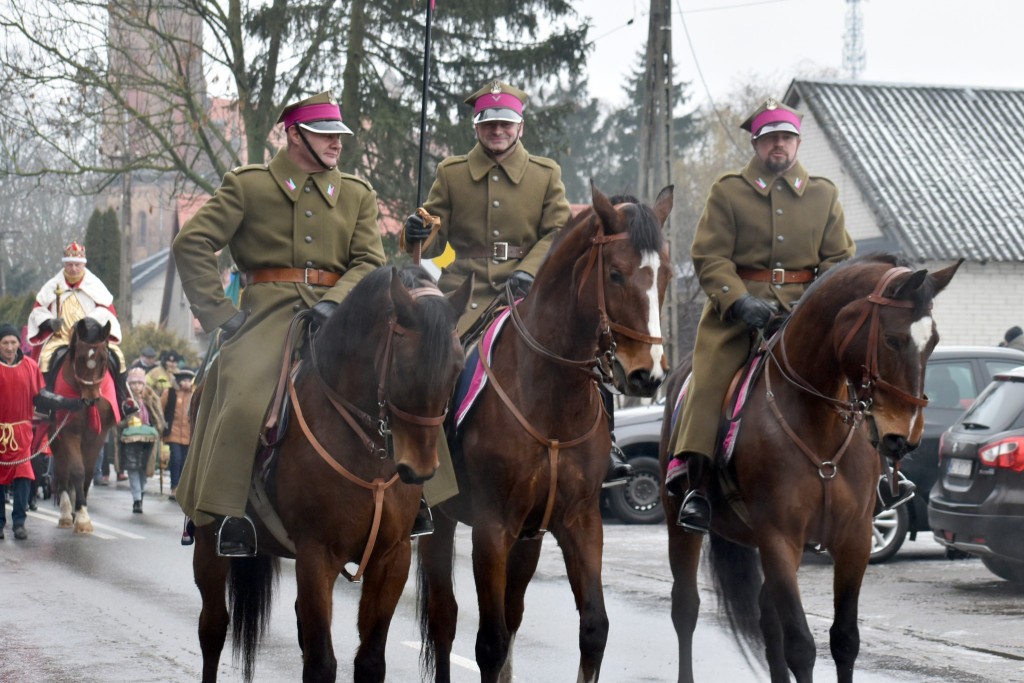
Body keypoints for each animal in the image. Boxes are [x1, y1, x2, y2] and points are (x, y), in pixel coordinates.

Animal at [49, 317, 117, 536]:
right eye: (79, 358)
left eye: (103, 358)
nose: (91, 399)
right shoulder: (69, 433)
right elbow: (77, 471)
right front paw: (82, 518)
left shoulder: (97, 437)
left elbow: (87, 473)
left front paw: (81, 510)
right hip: (55, 437)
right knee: (63, 471)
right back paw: (65, 514)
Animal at [192, 266, 471, 683]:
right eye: (404, 367)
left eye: (457, 367)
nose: (418, 469)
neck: (367, 448)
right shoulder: (316, 556)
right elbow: (321, 663)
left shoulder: (393, 556)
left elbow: (370, 660)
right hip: (207, 541)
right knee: (212, 628)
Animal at [415, 185, 671, 683]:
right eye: (615, 273)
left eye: (666, 274)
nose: (646, 375)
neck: (550, 394)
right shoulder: (492, 527)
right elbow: (489, 642)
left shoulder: (579, 521)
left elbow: (594, 627)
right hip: (442, 522)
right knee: (444, 618)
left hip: (529, 539)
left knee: (511, 613)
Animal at [663, 254, 958, 683]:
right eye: (893, 339)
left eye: (933, 341)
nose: (905, 438)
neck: (816, 420)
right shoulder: (779, 538)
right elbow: (801, 646)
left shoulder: (854, 539)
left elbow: (845, 640)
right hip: (680, 524)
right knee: (686, 609)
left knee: (768, 620)